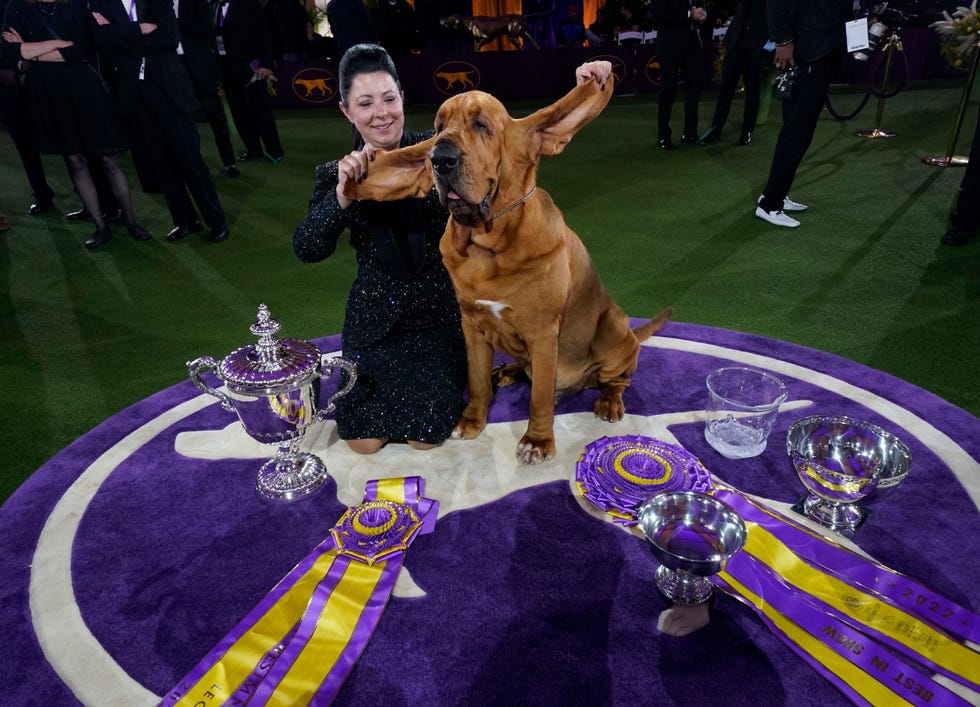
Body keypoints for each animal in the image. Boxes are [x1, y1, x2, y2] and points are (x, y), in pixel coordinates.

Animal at [344, 70, 672, 464]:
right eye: (439, 128)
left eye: (482, 125)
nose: (440, 158)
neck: (487, 245)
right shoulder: (472, 326)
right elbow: (477, 381)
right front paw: (472, 420)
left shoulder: (543, 333)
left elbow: (540, 397)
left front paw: (538, 440)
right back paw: (510, 371)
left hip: (612, 329)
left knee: (617, 380)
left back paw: (608, 401)